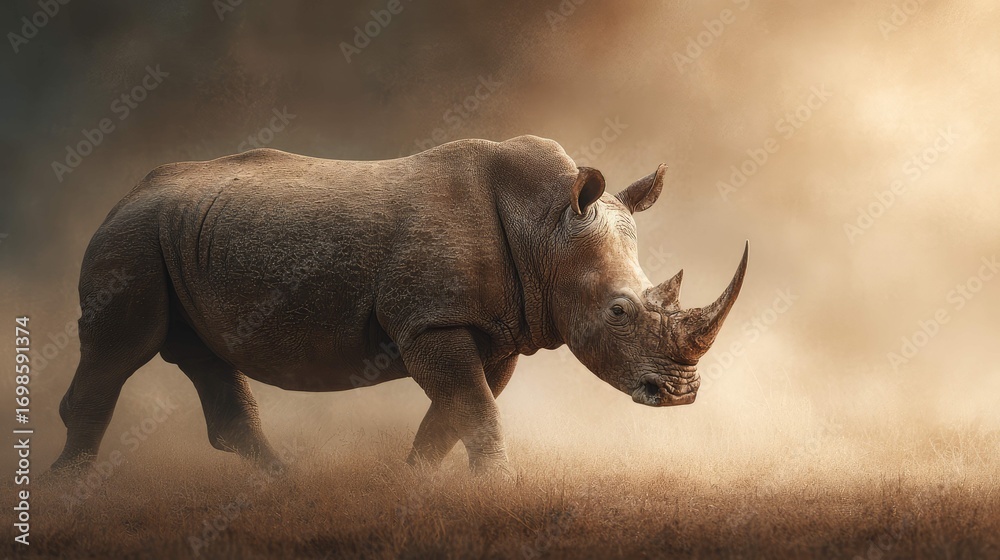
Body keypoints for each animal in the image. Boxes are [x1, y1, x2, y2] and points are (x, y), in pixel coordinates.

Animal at [51, 135, 747, 474]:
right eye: (619, 313)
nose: (680, 394)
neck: (545, 223)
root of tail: (123, 195)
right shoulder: (430, 322)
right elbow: (476, 412)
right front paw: (498, 488)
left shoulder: (494, 328)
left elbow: (456, 414)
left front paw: (413, 485)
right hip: (133, 239)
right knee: (121, 348)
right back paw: (71, 493)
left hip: (180, 233)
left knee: (203, 358)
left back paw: (282, 486)